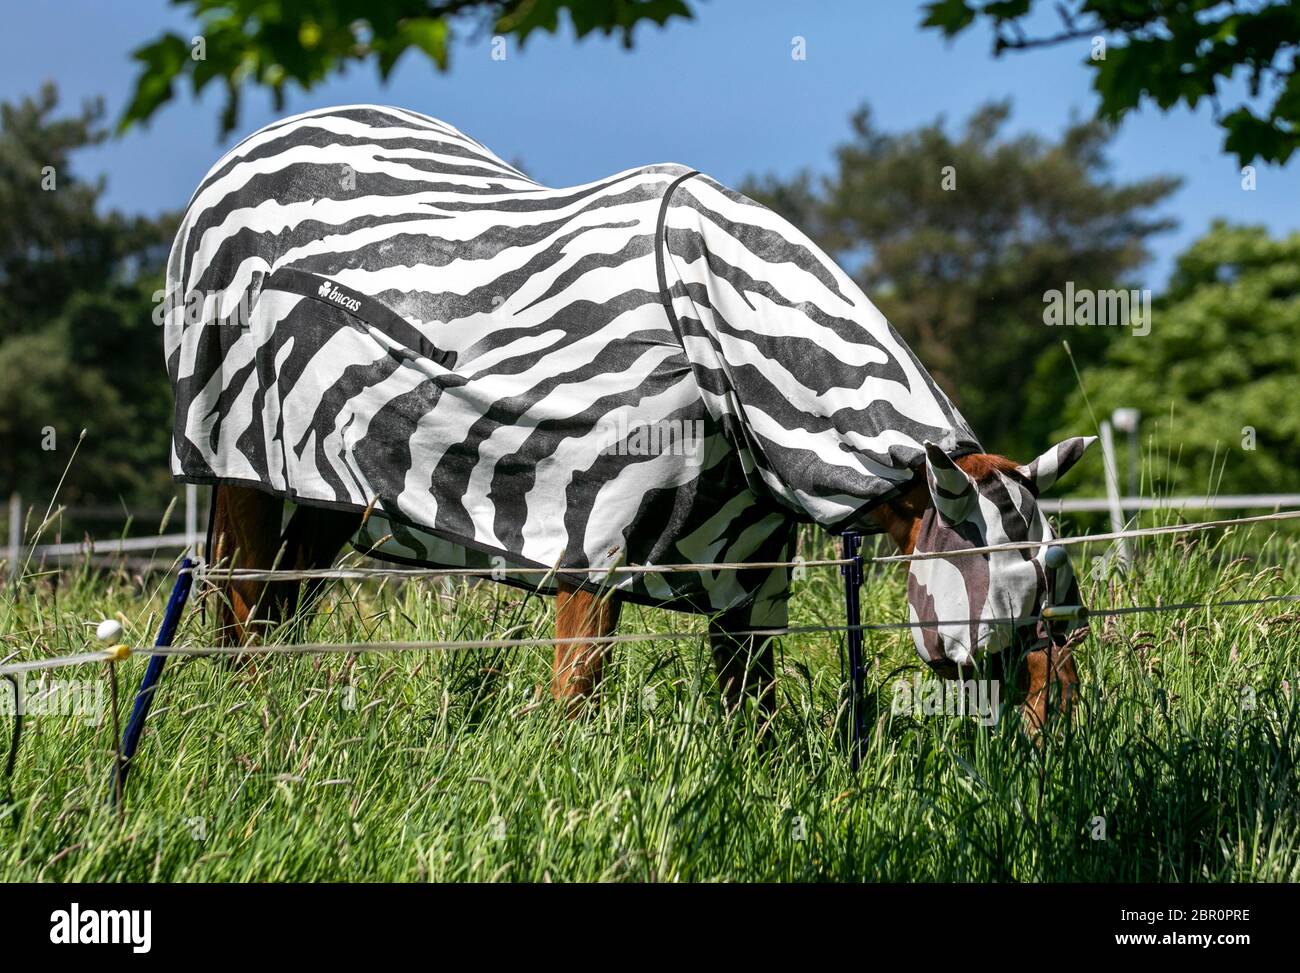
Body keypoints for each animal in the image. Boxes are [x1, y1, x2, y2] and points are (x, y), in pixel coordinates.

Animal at [164, 105, 1093, 727]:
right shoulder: (590, 538)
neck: (720, 345)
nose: (1056, 747)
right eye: (1010, 597)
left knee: (275, 612)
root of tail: (257, 142)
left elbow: (754, 721)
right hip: (242, 464)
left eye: (1061, 583)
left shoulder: (749, 576)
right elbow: (575, 702)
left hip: (327, 494)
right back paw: (251, 720)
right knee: (243, 607)